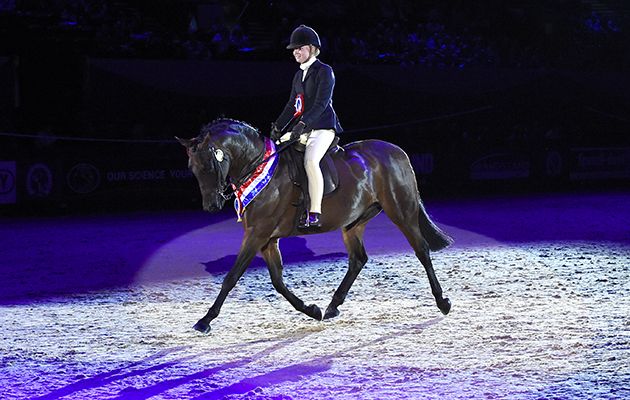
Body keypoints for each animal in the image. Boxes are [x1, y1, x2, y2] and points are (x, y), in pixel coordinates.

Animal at [178, 119, 454, 334]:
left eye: (209, 165)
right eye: (192, 168)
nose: (211, 206)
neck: (259, 169)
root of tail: (398, 151)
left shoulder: (257, 234)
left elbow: (232, 277)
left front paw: (204, 321)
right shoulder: (267, 239)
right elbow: (278, 282)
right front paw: (312, 310)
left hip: (401, 211)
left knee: (421, 250)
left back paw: (443, 302)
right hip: (353, 223)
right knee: (358, 259)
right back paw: (332, 306)